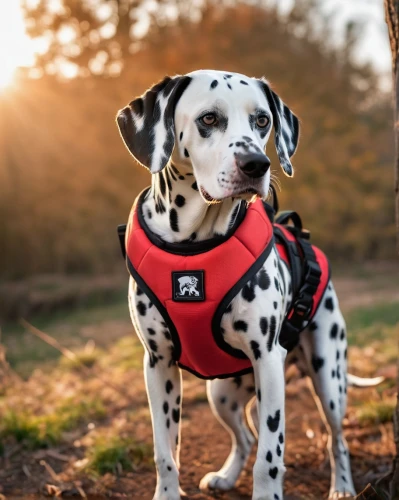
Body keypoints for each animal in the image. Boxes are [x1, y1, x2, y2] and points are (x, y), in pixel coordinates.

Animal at [115, 70, 382, 500]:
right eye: (208, 119)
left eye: (262, 120)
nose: (257, 164)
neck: (194, 246)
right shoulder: (157, 365)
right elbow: (165, 452)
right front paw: (167, 491)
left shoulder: (268, 362)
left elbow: (269, 459)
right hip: (221, 395)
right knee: (244, 436)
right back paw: (225, 476)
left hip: (328, 376)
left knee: (335, 438)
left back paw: (341, 486)